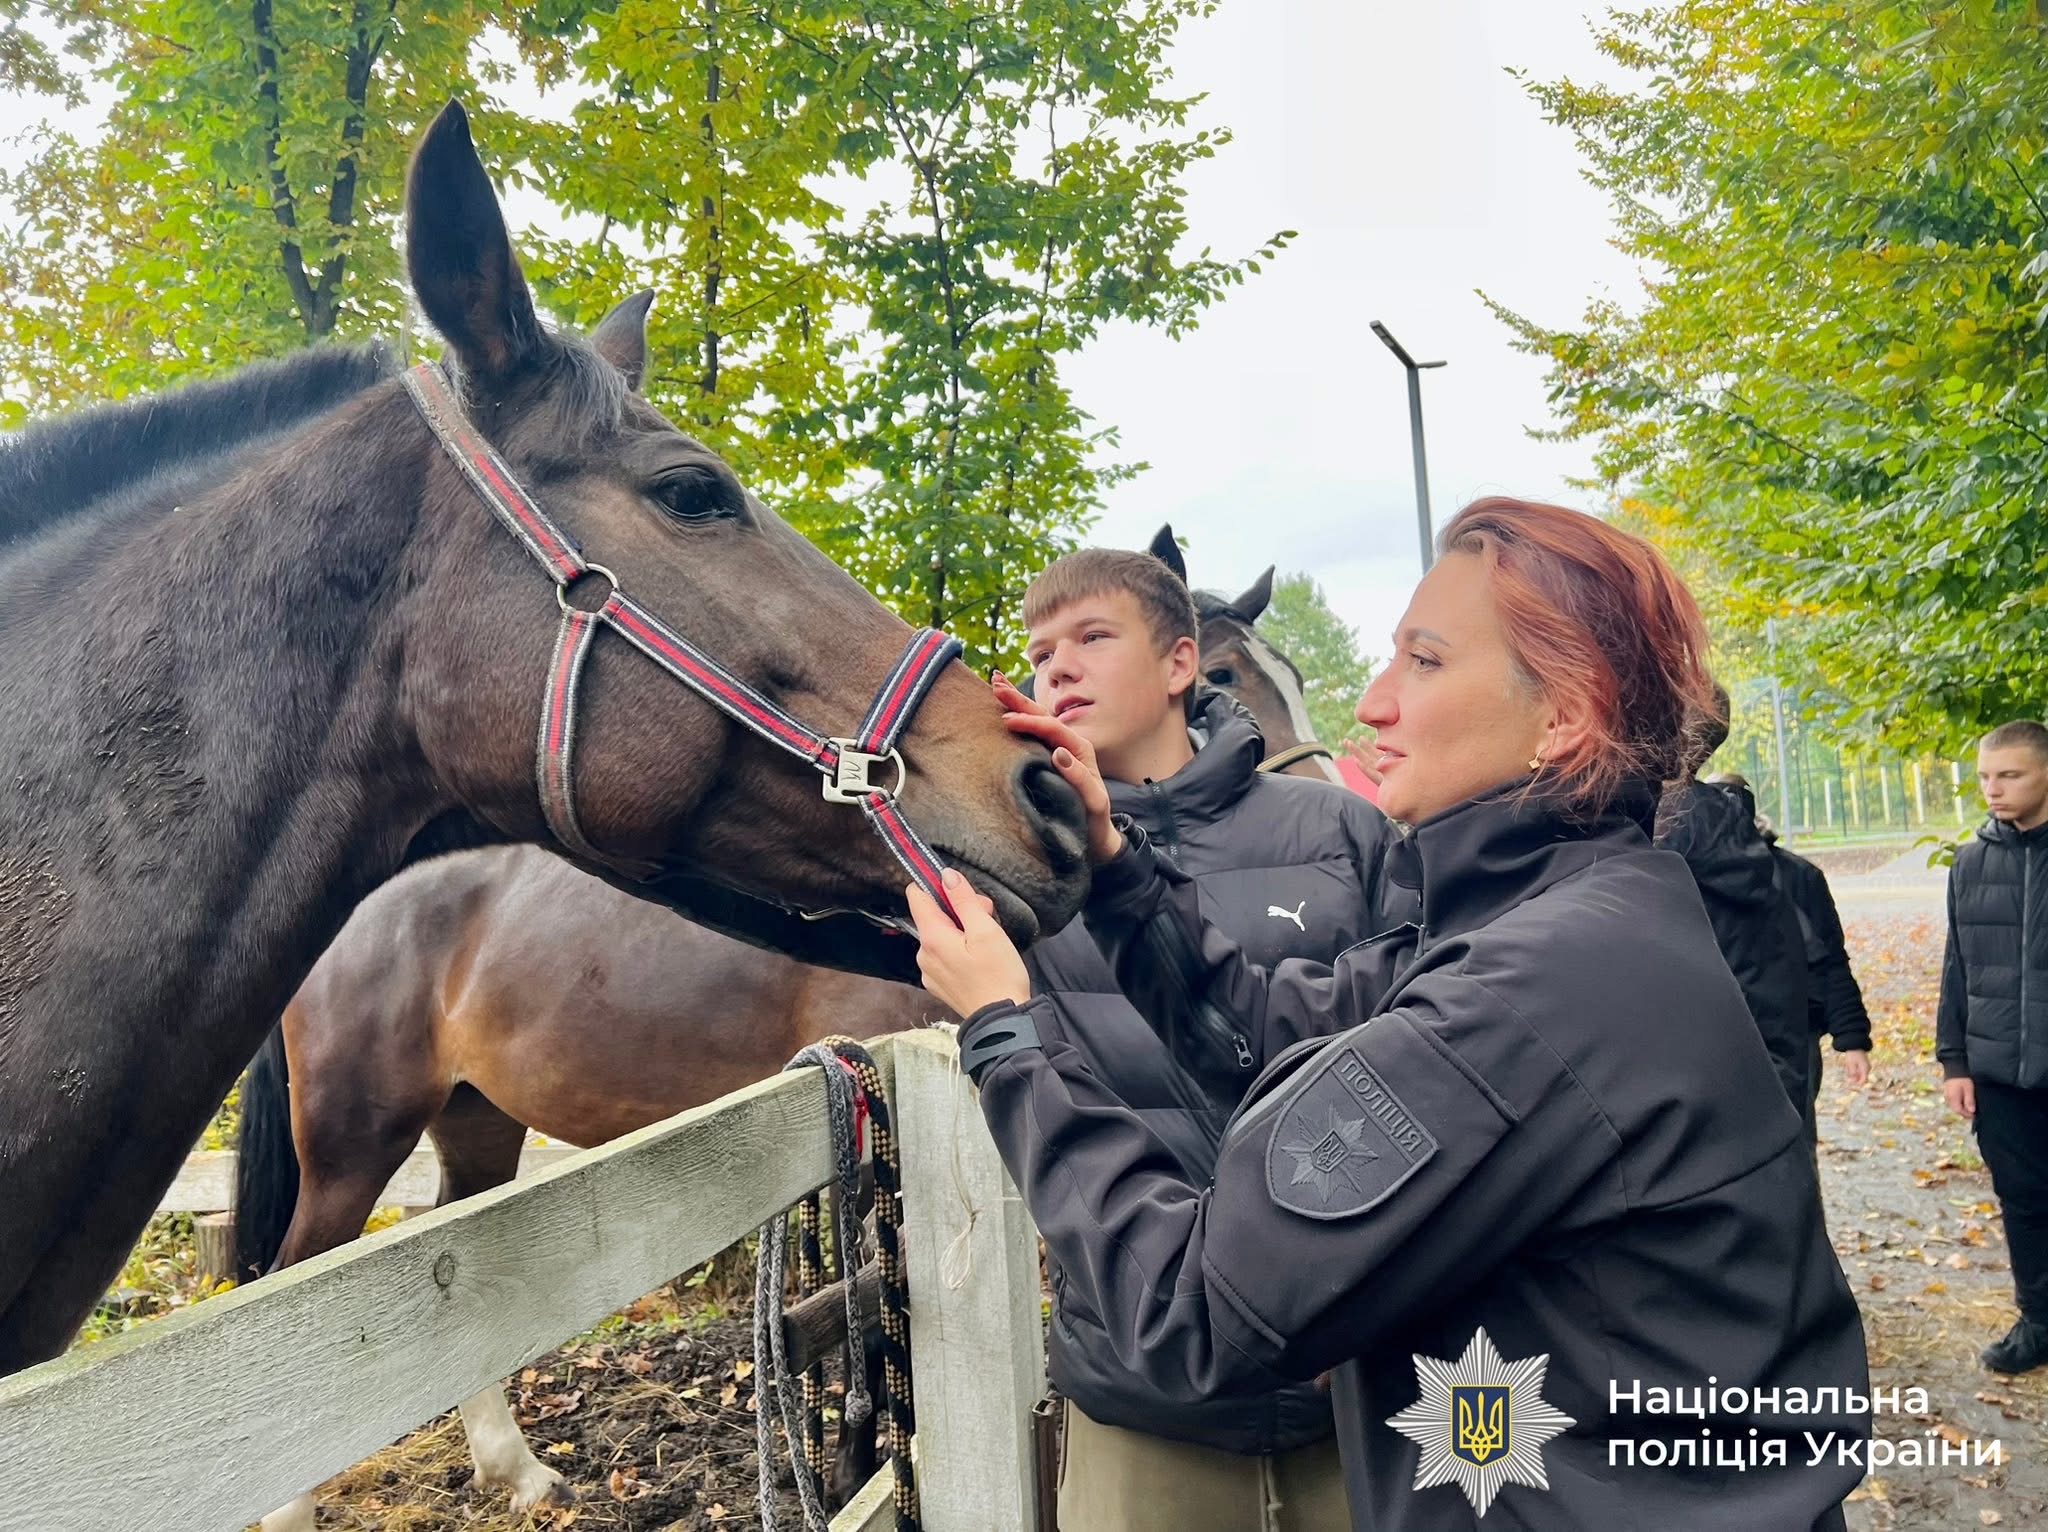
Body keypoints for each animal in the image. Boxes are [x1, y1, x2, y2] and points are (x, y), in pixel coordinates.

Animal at [227, 532, 1348, 1524]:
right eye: (1222, 673)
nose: (1349, 805)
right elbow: (861, 1305)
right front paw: (858, 1459)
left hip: (476, 1120)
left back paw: (521, 1471)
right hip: (354, 1136)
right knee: (290, 1277)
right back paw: (288, 1509)